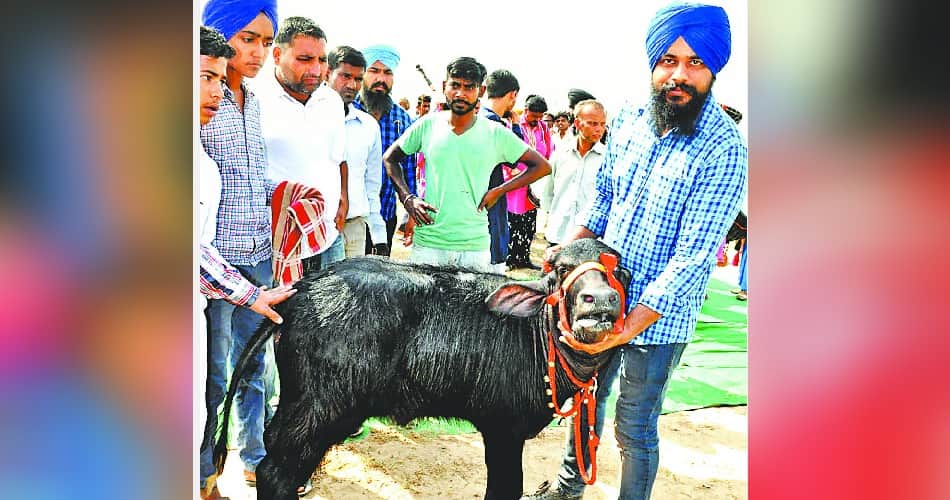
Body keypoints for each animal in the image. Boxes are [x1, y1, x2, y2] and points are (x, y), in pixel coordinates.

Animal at [210, 238, 631, 499]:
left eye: (620, 272)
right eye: (560, 270)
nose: (599, 300)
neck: (535, 335)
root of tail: (304, 288)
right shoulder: (502, 429)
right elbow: (504, 489)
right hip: (317, 410)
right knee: (276, 473)